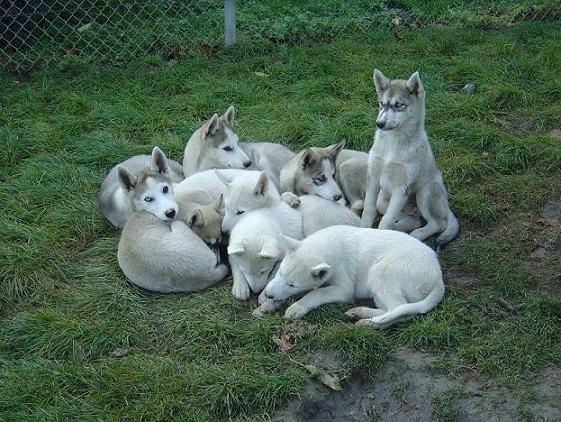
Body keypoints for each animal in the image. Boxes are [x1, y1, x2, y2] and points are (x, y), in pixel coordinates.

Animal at [262, 226, 442, 328]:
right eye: (280, 272)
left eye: (293, 284)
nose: (269, 294)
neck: (328, 244)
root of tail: (439, 278)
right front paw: (267, 302)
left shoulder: (344, 289)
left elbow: (316, 292)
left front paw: (297, 307)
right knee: (392, 309)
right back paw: (359, 313)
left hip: (381, 272)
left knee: (399, 310)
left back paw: (369, 323)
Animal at [358, 69, 460, 251]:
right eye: (382, 103)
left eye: (399, 105)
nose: (379, 123)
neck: (393, 142)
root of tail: (446, 207)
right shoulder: (374, 178)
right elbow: (368, 211)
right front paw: (363, 230)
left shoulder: (402, 187)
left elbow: (386, 221)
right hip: (383, 200)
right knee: (413, 220)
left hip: (424, 193)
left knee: (437, 223)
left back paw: (416, 235)